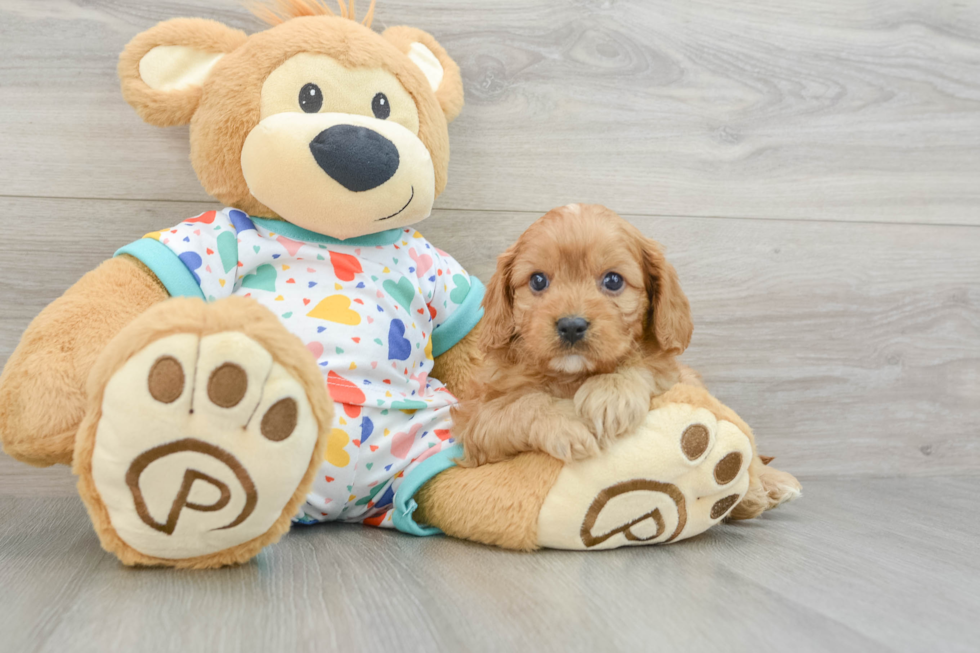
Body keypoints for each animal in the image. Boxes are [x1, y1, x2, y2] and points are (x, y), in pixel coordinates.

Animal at [456, 204, 700, 464]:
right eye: (538, 280)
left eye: (613, 280)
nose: (571, 326)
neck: (570, 376)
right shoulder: (475, 422)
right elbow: (520, 405)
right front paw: (568, 420)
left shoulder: (678, 380)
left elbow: (648, 363)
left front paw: (611, 390)